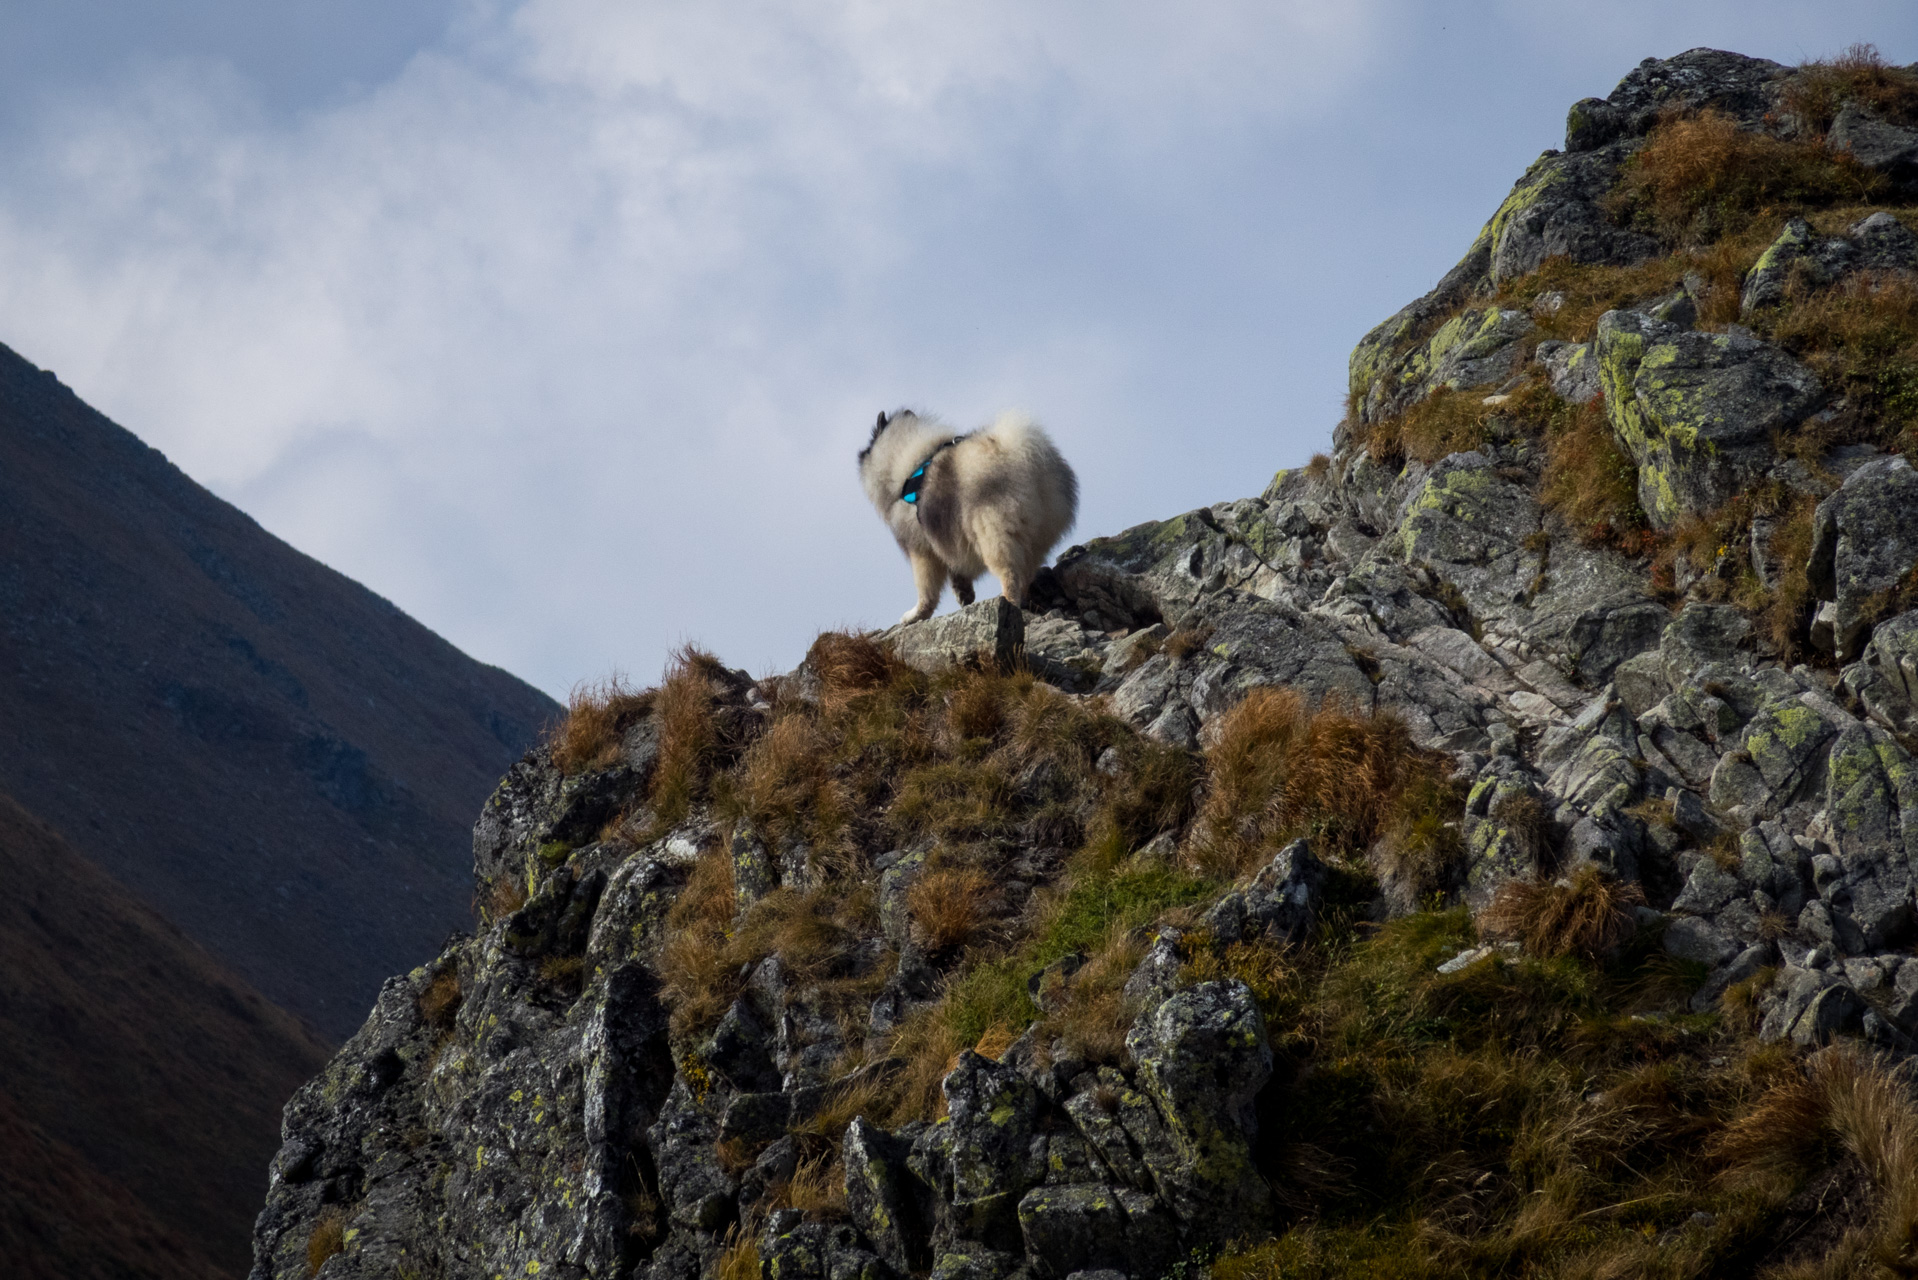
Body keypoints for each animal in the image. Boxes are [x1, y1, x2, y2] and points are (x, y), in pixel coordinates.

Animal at [859, 410, 1081, 625]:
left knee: (1009, 573)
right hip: (1036, 537)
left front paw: (916, 615)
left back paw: (1008, 602)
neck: (911, 464)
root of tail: (1023, 456)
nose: (861, 455)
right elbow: (957, 571)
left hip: (993, 534)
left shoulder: (921, 549)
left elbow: (926, 589)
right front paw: (963, 594)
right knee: (1025, 574)